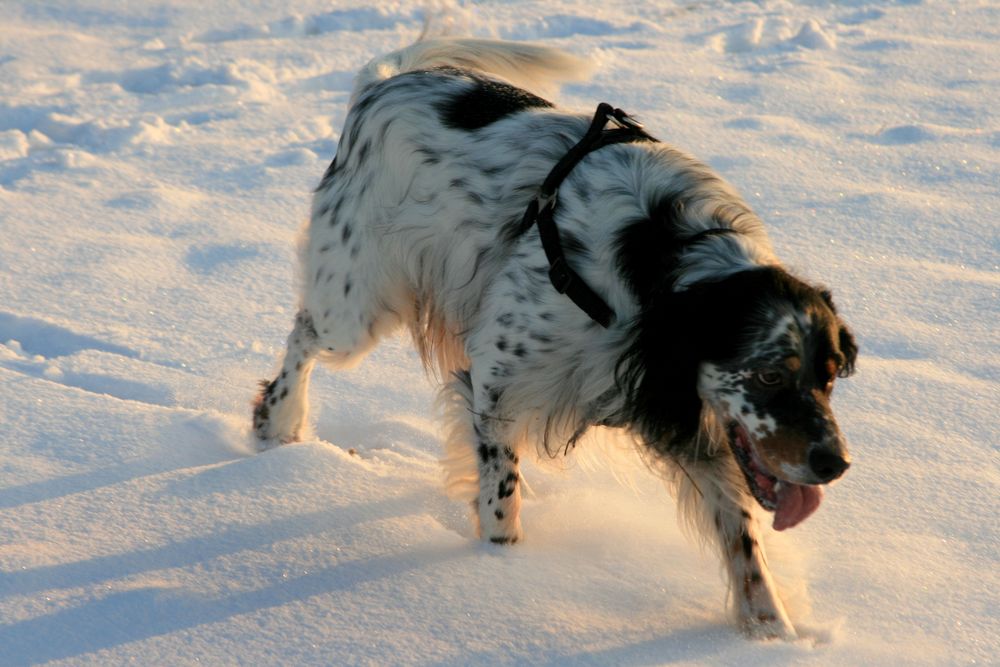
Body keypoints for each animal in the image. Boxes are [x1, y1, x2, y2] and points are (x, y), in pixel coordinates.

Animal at [254, 37, 856, 640]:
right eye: (769, 374)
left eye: (828, 378)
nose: (836, 464)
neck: (658, 262)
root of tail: (382, 83)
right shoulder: (498, 377)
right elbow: (500, 498)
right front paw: (501, 569)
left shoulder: (689, 415)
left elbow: (743, 540)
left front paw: (771, 633)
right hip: (354, 305)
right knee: (302, 340)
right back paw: (277, 424)